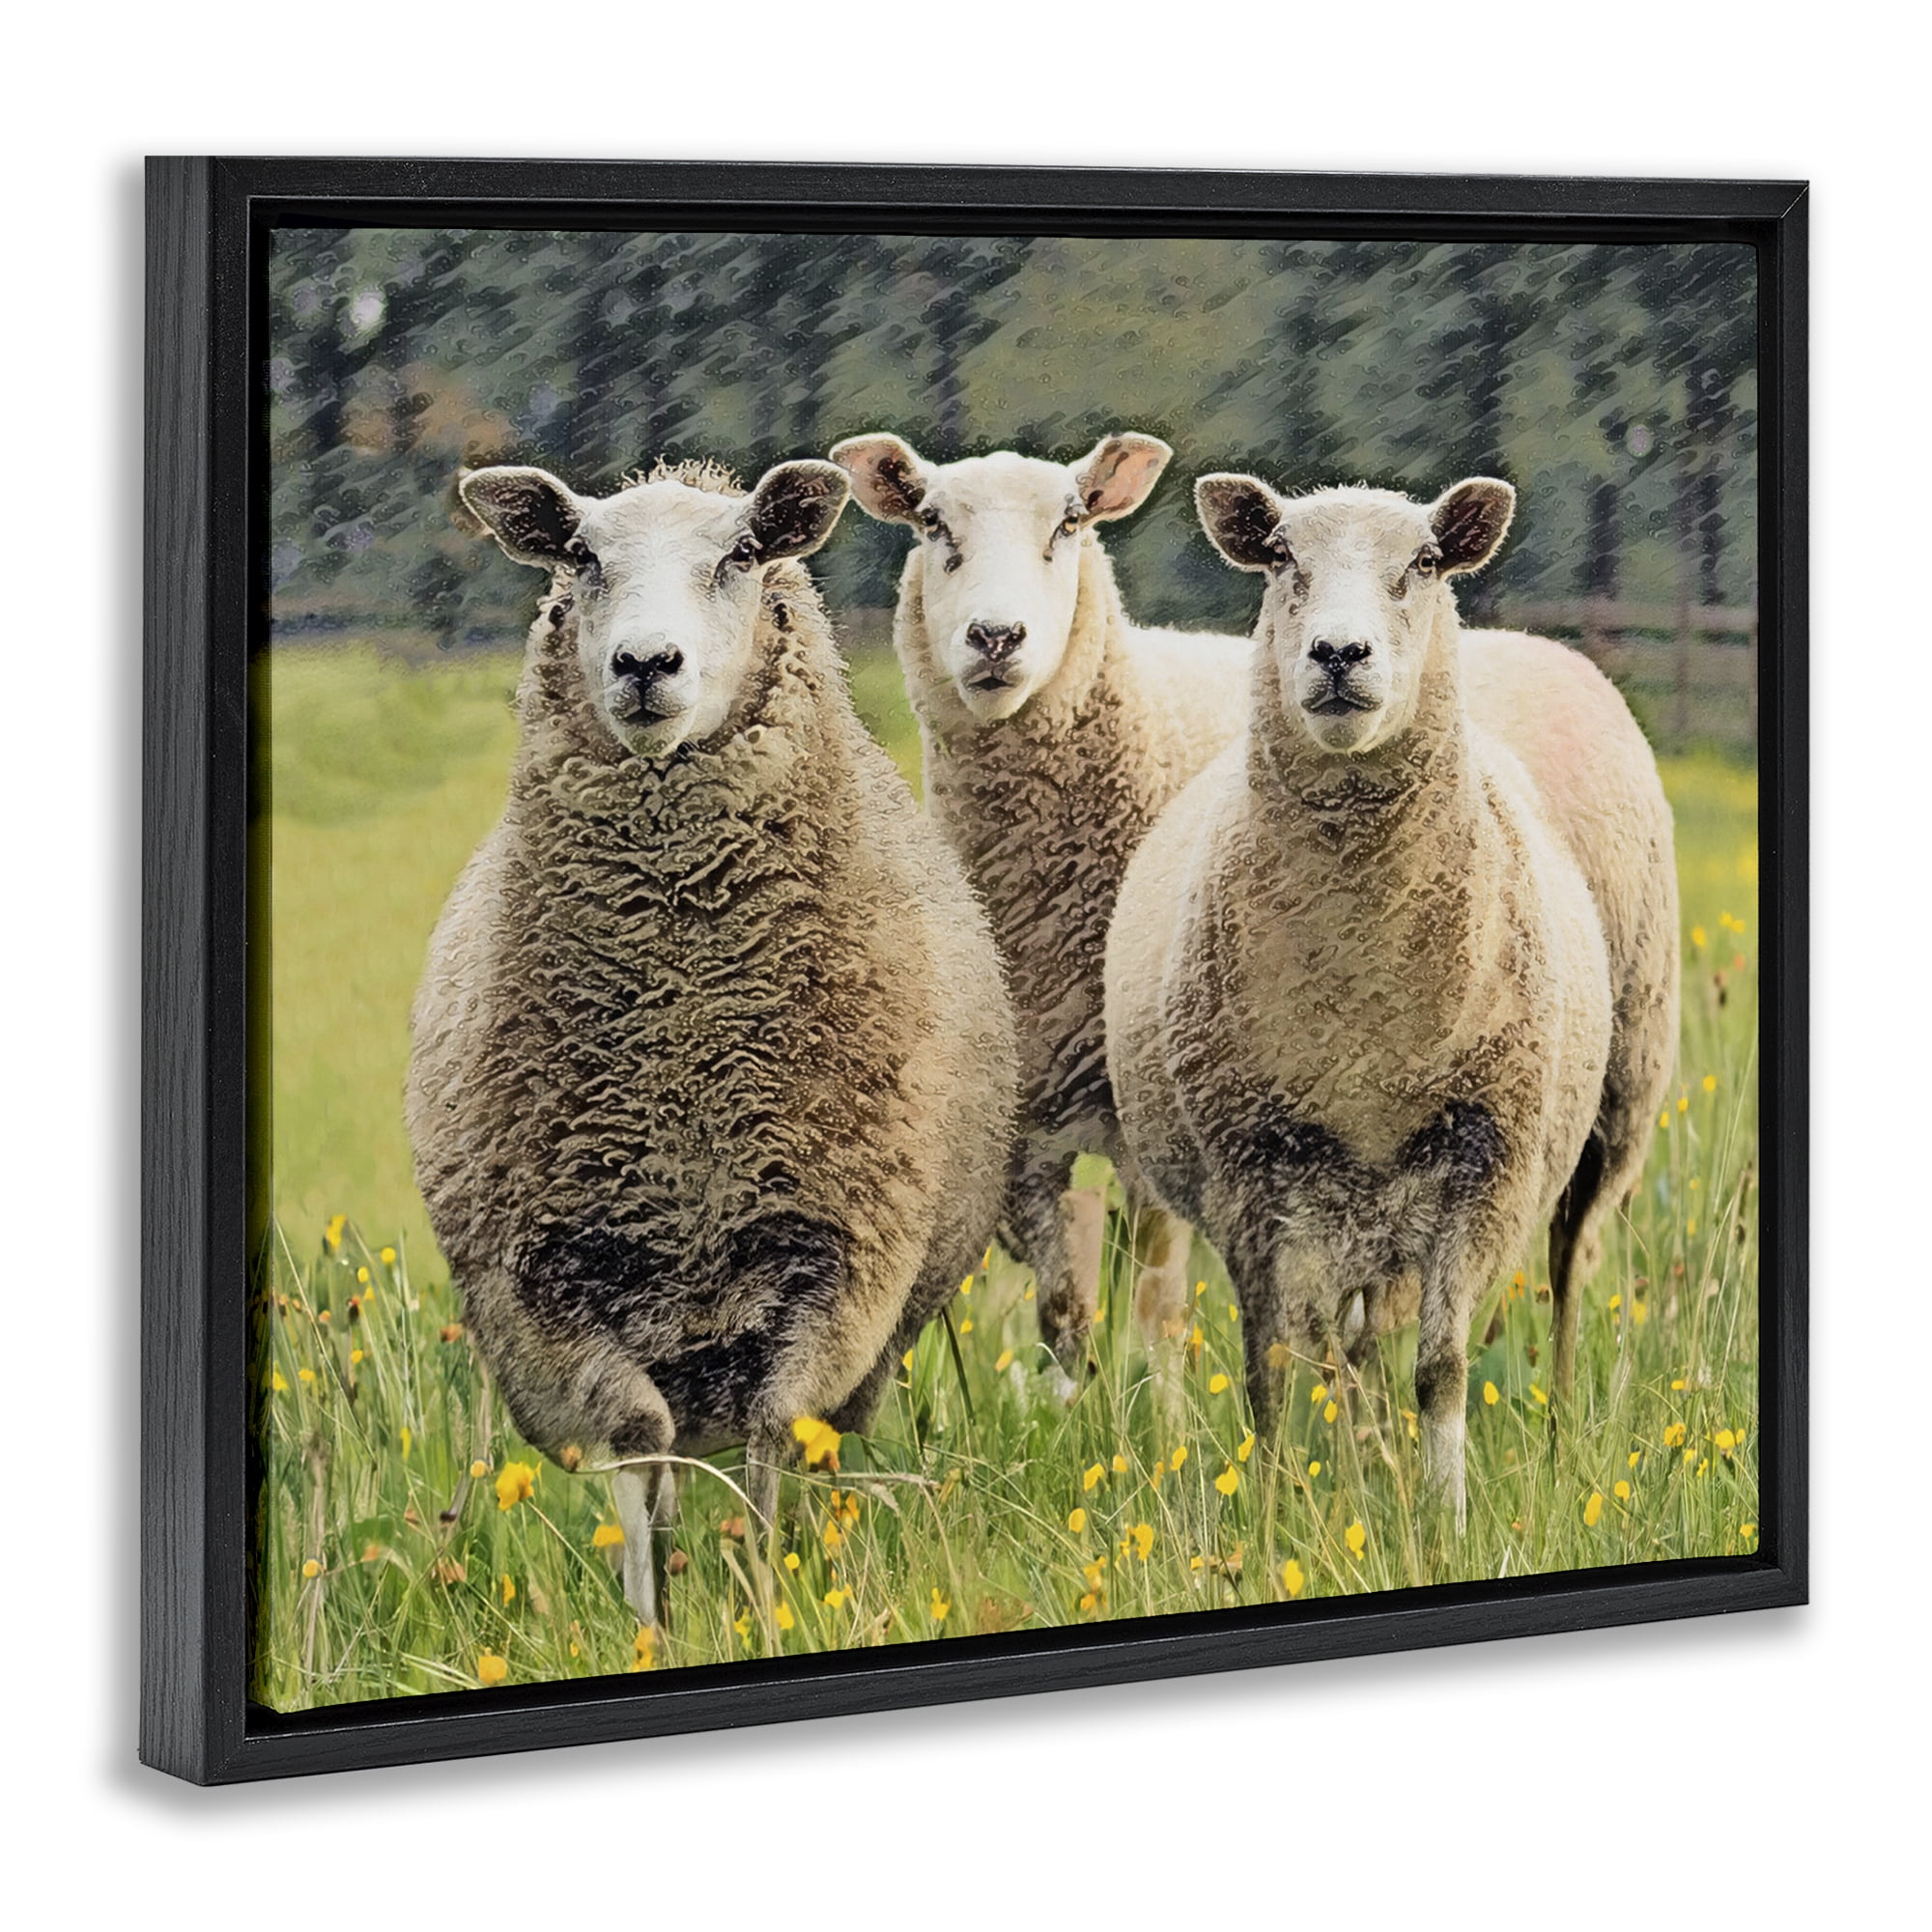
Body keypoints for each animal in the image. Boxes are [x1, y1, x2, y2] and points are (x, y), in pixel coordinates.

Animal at [407, 455, 1018, 1625]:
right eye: (580, 556)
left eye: (739, 555)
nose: (646, 664)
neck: (685, 1040)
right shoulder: (549, 1285)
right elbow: (637, 1442)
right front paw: (654, 1622)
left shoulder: (837, 1258)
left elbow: (780, 1431)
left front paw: (767, 1597)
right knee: (672, 1450)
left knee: (808, 1445)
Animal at [830, 431, 1252, 1384]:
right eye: (931, 521)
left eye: (1069, 523)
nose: (996, 635)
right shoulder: (1023, 1132)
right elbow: (1065, 1312)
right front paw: (1078, 1404)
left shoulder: (1148, 1123)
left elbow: (1156, 1307)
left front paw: (1157, 1410)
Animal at [1105, 471, 1678, 1523]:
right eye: (1281, 557)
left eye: (1422, 562)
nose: (1339, 652)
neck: (1363, 1003)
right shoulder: (1249, 1174)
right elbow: (1273, 1368)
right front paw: (1274, 1513)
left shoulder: (1485, 1161)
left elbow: (1442, 1369)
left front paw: (1444, 1517)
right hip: (1348, 1204)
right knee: (1349, 1345)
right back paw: (1361, 1462)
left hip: (1615, 1104)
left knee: (1570, 1271)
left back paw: (1560, 1433)